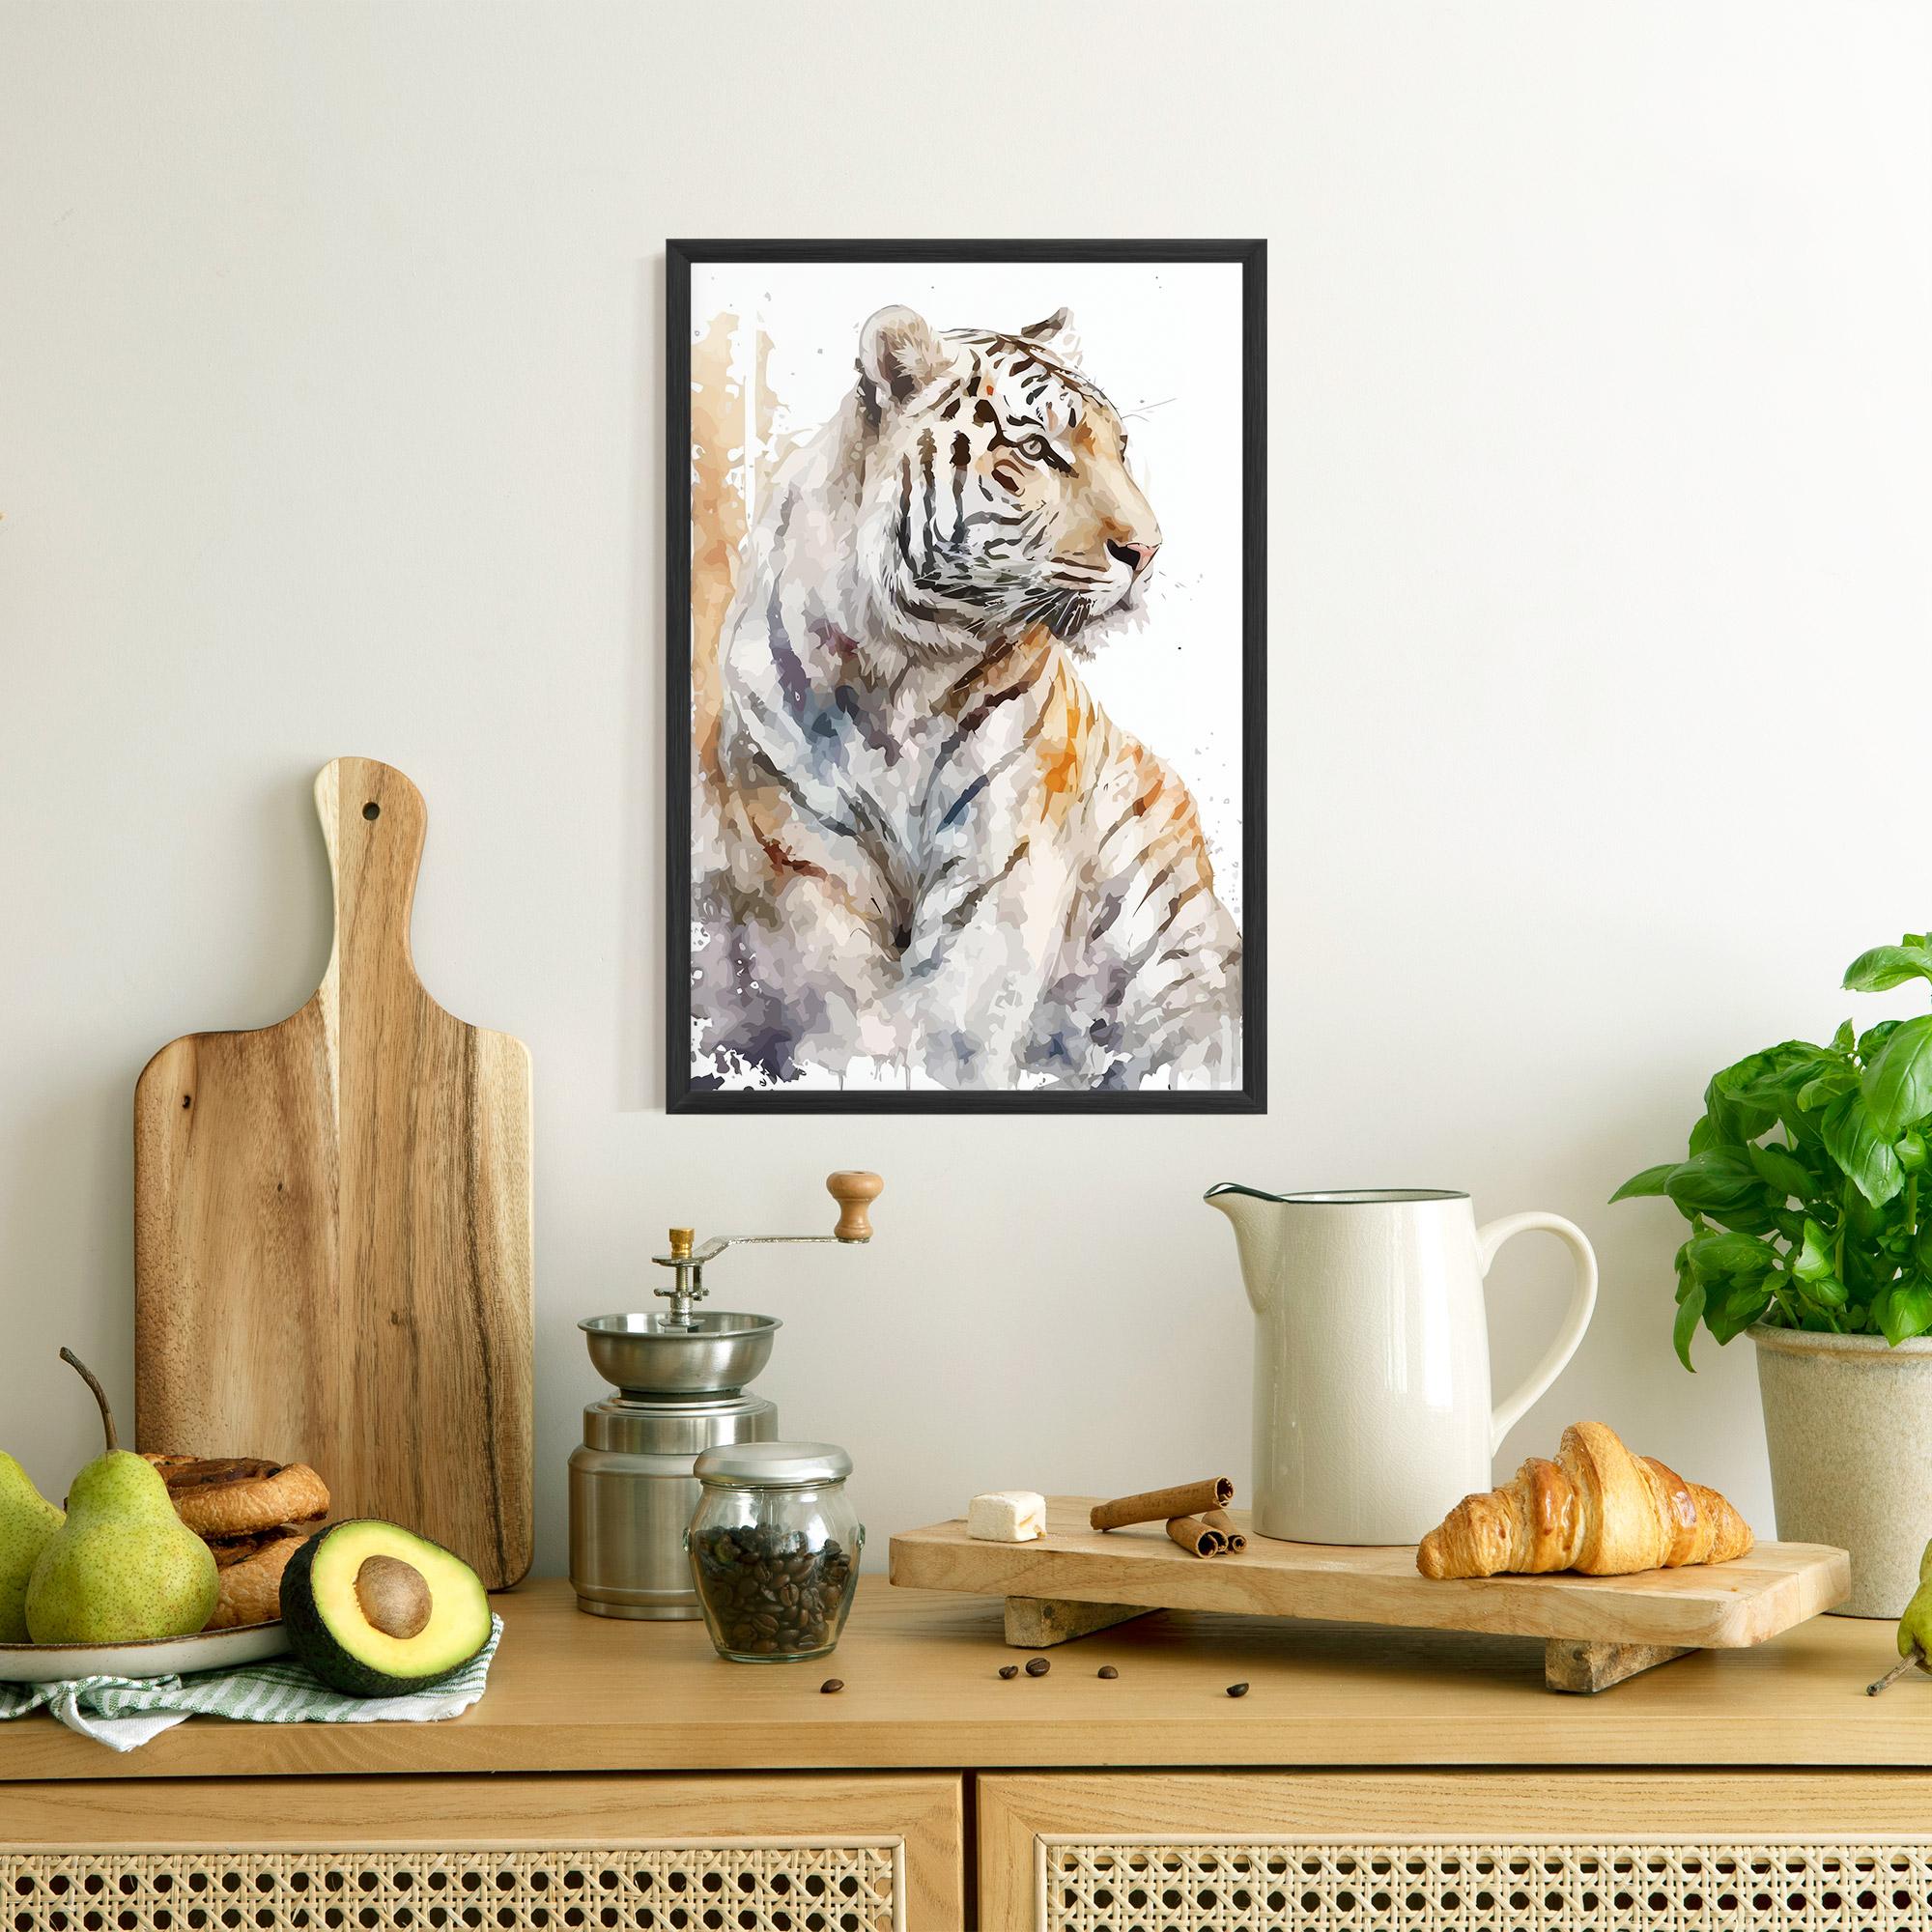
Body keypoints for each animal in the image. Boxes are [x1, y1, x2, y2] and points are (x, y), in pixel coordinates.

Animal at [689, 301, 1241, 1092]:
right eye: (1038, 450)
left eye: (1121, 447)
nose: (1148, 550)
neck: (900, 670)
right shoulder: (803, 856)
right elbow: (839, 1010)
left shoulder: (1004, 855)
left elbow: (958, 1025)